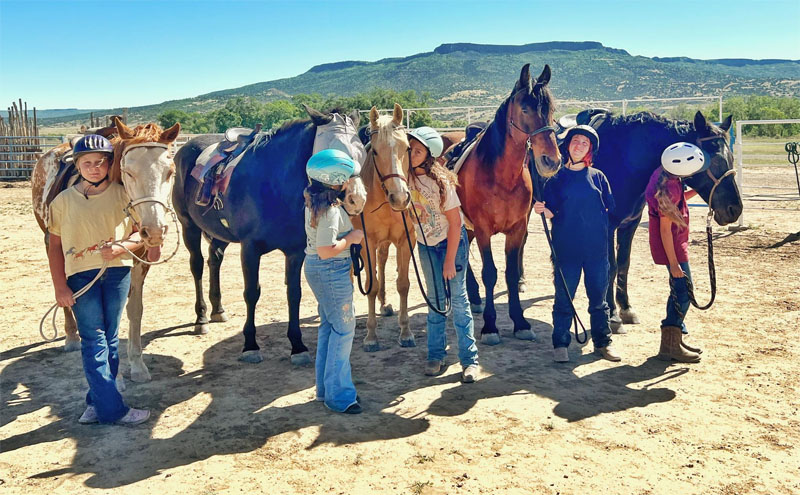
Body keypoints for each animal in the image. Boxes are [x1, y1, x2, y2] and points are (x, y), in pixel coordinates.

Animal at [32, 117, 180, 384]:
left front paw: (137, 365)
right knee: (63, 289)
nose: (154, 231)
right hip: (50, 242)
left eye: (170, 172)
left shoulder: (140, 258)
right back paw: (71, 336)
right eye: (128, 172)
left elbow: (134, 310)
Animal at [173, 105, 368, 364]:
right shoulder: (249, 248)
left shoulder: (295, 251)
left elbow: (294, 293)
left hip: (220, 235)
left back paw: (218, 310)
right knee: (197, 266)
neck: (273, 182)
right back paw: (202, 318)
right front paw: (250, 345)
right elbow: (251, 293)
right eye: (334, 157)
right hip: (189, 227)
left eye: (361, 153)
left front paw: (297, 346)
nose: (357, 199)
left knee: (214, 261)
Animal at [456, 64, 564, 344]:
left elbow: (511, 274)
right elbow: (490, 273)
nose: (551, 161)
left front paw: (520, 322)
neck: (501, 177)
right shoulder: (483, 229)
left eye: (551, 110)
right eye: (525, 109)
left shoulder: (516, 229)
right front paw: (490, 326)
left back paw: (473, 296)